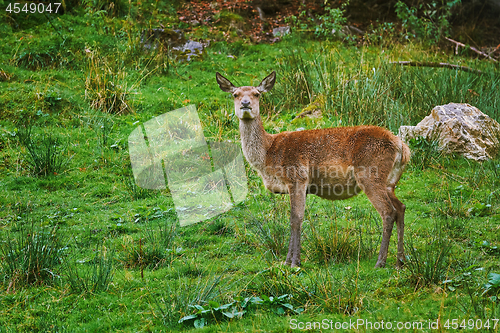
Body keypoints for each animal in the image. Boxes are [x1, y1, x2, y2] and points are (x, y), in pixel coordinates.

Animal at [217, 70, 412, 268]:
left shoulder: (297, 177)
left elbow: (296, 219)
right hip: (390, 182)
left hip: (370, 175)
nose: (245, 103)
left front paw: (294, 262)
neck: (268, 155)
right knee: (401, 207)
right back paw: (400, 260)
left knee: (388, 212)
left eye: (257, 94)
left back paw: (380, 262)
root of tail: (402, 147)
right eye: (235, 94)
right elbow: (294, 218)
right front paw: (287, 261)